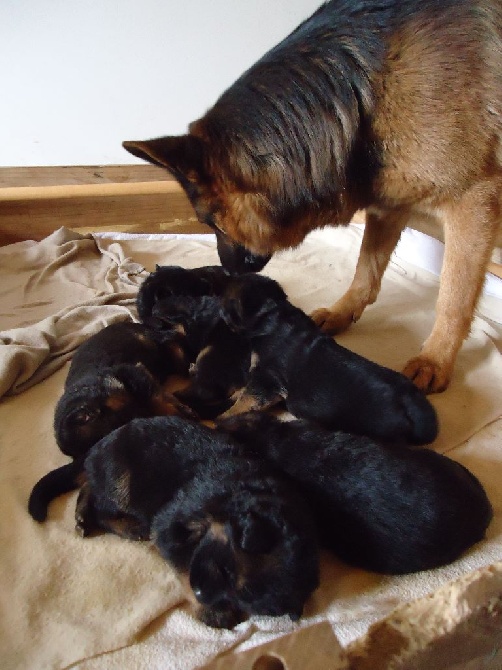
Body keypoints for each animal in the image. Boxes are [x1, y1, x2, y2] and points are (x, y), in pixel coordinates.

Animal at [122, 0, 502, 394]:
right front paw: (342, 312)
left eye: (211, 223)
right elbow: (366, 268)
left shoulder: (473, 202)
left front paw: (435, 359)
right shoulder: (389, 201)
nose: (224, 273)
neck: (366, 90)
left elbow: (454, 295)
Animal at [151, 456, 320, 632]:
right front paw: (214, 613)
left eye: (240, 601)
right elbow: (183, 562)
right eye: (225, 569)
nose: (198, 593)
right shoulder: (171, 523)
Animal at [219, 272, 436, 446]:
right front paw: (235, 393)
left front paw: (222, 418)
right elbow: (245, 390)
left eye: (228, 301)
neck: (273, 317)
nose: (221, 279)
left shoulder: (267, 380)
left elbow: (245, 401)